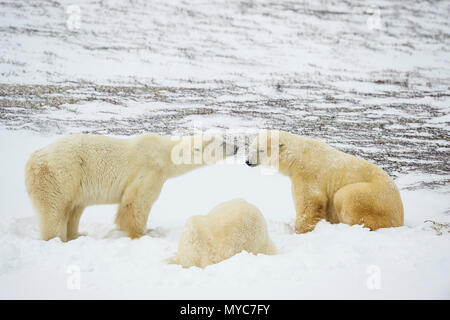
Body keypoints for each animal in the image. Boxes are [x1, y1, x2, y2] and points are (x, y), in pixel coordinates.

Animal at [25, 131, 237, 241]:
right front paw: (144, 233)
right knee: (54, 210)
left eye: (225, 138)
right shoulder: (148, 170)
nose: (236, 147)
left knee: (75, 209)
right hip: (60, 175)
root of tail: (32, 160)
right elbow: (135, 203)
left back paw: (77, 234)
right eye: (223, 143)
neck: (164, 155)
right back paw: (57, 238)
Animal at [246, 129, 404, 232]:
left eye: (261, 150)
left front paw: (301, 229)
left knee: (346, 196)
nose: (247, 161)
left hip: (374, 196)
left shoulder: (308, 175)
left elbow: (309, 202)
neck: (299, 157)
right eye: (251, 147)